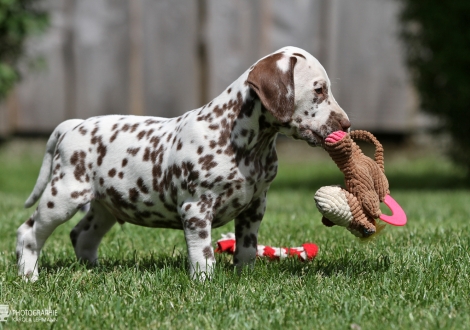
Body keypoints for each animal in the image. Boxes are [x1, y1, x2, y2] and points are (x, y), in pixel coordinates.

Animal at [16, 45, 350, 282]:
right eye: (319, 89)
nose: (346, 125)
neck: (244, 143)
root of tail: (74, 125)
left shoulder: (255, 206)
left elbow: (246, 248)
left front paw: (245, 277)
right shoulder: (196, 208)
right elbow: (203, 252)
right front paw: (205, 282)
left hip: (105, 207)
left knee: (82, 236)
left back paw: (93, 272)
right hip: (62, 197)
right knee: (28, 232)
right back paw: (29, 274)